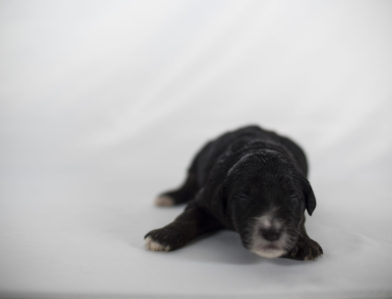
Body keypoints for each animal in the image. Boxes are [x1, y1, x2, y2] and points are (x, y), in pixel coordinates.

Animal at [144, 125, 322, 262]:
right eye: (243, 196)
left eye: (292, 197)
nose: (271, 233)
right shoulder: (205, 198)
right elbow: (187, 217)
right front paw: (162, 236)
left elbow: (301, 219)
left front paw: (303, 243)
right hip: (199, 156)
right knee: (189, 180)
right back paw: (169, 197)